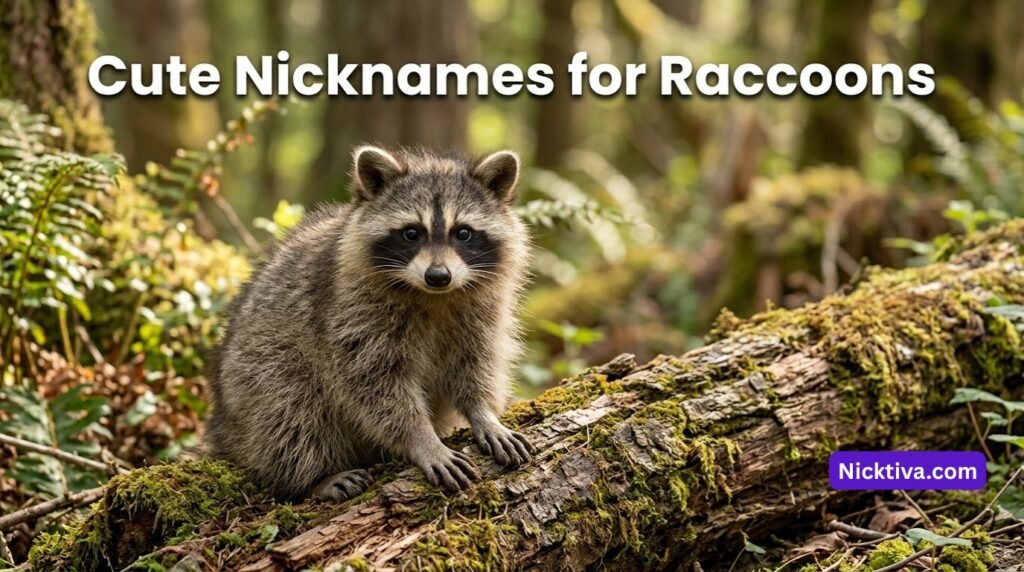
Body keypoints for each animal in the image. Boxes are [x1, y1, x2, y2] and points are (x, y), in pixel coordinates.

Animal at [205, 146, 533, 501]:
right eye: (411, 233)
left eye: (463, 233)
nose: (438, 276)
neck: (434, 296)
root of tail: (223, 424)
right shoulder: (349, 310)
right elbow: (373, 382)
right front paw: (422, 438)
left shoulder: (482, 310)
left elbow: (477, 362)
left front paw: (482, 413)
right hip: (253, 372)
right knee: (287, 405)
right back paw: (313, 478)